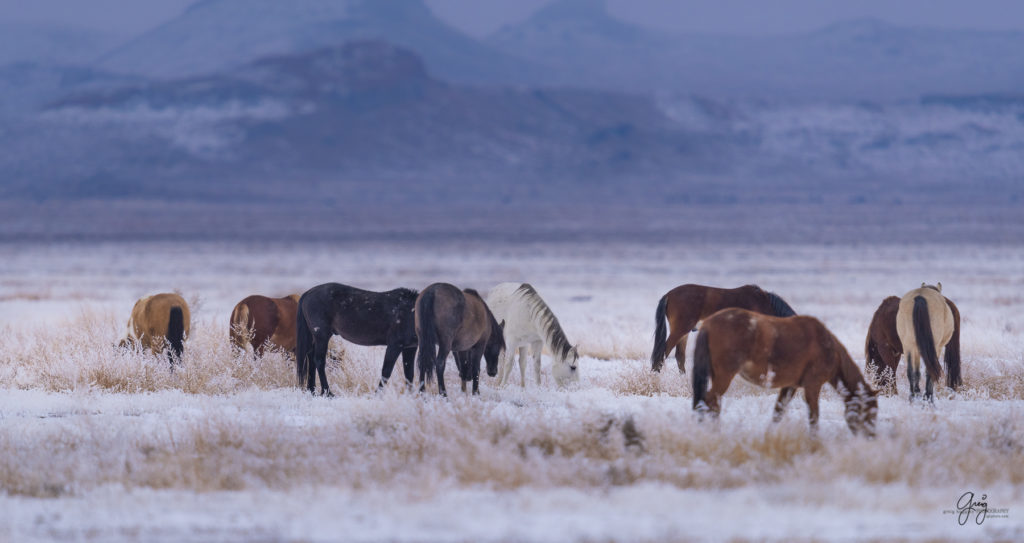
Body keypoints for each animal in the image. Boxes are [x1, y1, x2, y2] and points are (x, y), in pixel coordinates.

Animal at [647, 282, 798, 372]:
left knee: (679, 357)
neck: (764, 303)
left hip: (684, 332)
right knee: (662, 354)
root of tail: (668, 295)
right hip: (680, 330)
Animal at [692, 307, 876, 432]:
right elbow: (814, 417)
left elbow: (778, 413)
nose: (870, 437)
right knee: (709, 401)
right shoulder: (813, 386)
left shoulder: (790, 386)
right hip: (724, 377)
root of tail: (708, 324)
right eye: (870, 411)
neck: (830, 349)